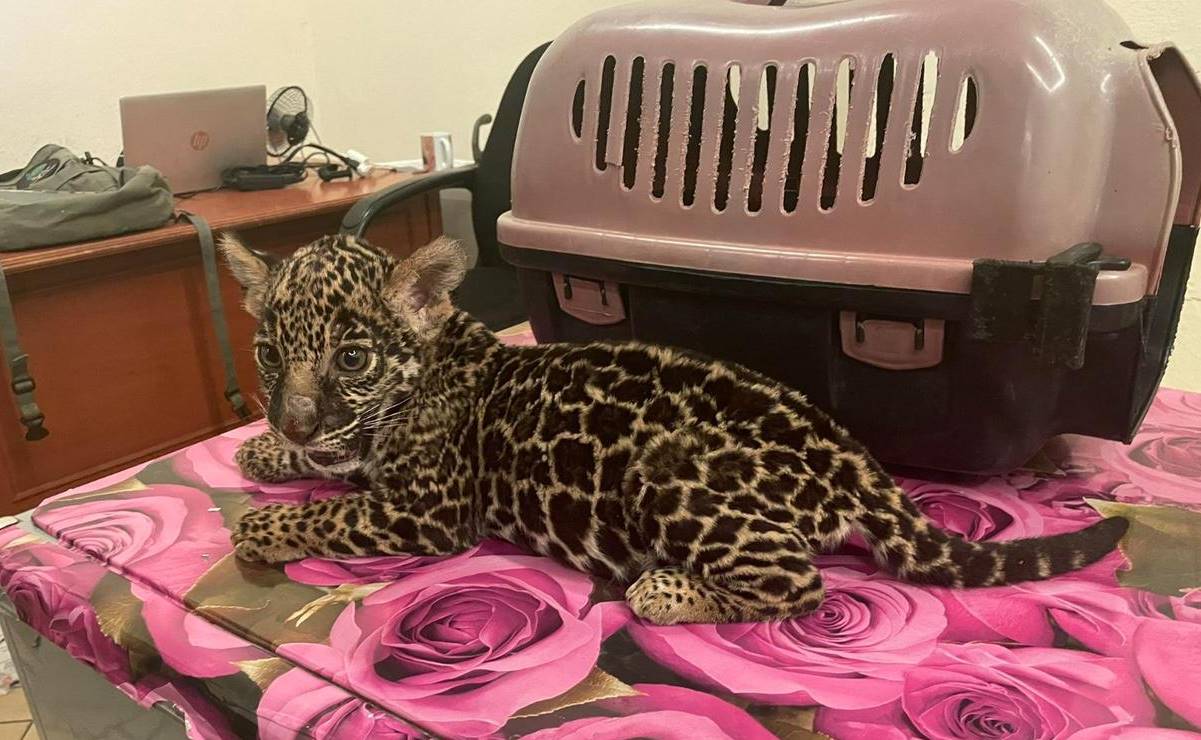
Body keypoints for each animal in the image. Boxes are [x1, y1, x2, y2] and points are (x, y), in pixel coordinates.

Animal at [221, 233, 1129, 625]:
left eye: (350, 358)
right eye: (267, 354)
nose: (292, 418)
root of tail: (858, 463)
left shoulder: (426, 511)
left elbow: (331, 511)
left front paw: (260, 525)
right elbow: (332, 470)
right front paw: (267, 449)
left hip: (668, 471)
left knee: (800, 586)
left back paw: (664, 590)